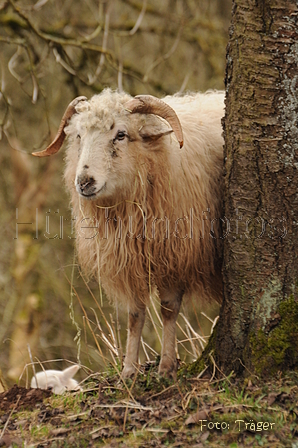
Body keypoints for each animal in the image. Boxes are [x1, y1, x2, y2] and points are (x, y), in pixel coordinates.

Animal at [32, 89, 224, 380]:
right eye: (78, 135)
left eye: (120, 134)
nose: (84, 182)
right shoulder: (127, 261)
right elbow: (135, 315)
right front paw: (129, 370)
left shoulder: (174, 255)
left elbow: (168, 309)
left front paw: (166, 367)